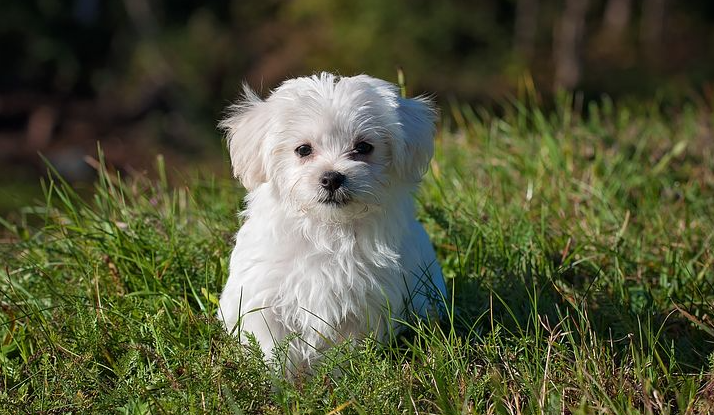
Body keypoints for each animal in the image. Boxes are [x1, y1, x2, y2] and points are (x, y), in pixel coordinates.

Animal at [217, 71, 442, 370]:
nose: (332, 177)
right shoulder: (264, 297)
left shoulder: (363, 304)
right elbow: (272, 346)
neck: (327, 228)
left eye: (363, 147)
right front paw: (276, 378)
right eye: (303, 150)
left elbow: (346, 348)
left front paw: (340, 374)